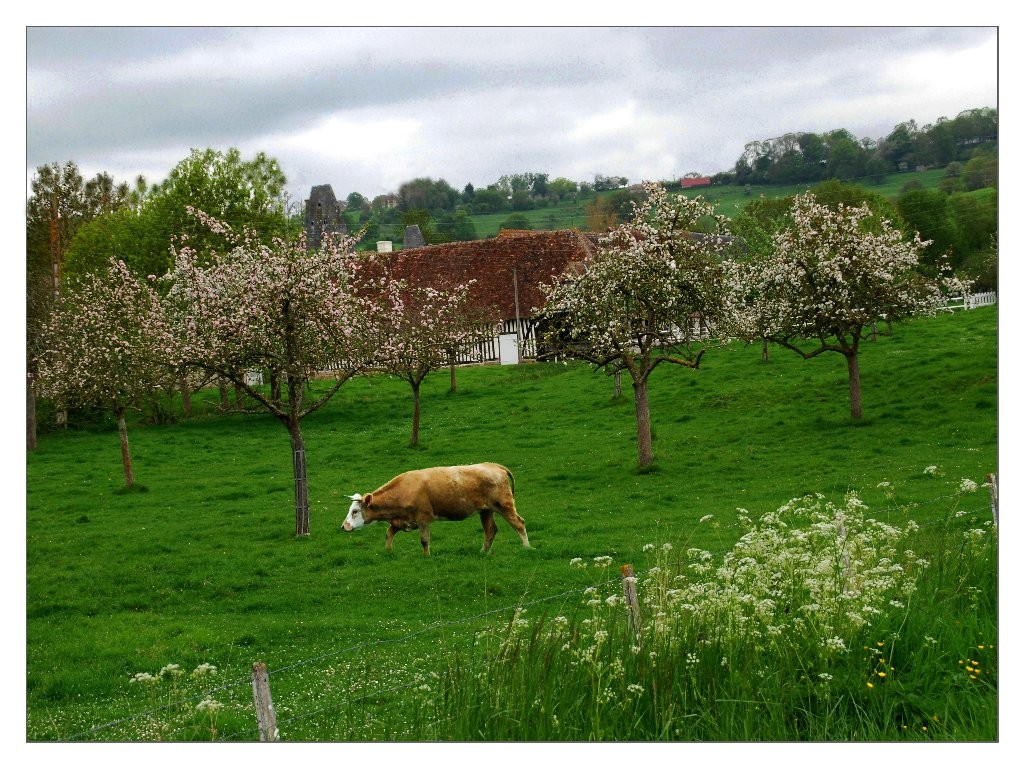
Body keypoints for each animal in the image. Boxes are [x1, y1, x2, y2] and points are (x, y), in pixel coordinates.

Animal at [344, 460, 532, 557]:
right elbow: (389, 534)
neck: (403, 490)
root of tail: (494, 465)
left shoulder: (423, 518)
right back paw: (483, 552)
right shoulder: (400, 521)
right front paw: (389, 552)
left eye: (355, 511)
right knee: (490, 530)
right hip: (486, 511)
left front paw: (427, 557)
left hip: (504, 505)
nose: (344, 526)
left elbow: (424, 540)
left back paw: (527, 548)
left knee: (519, 524)